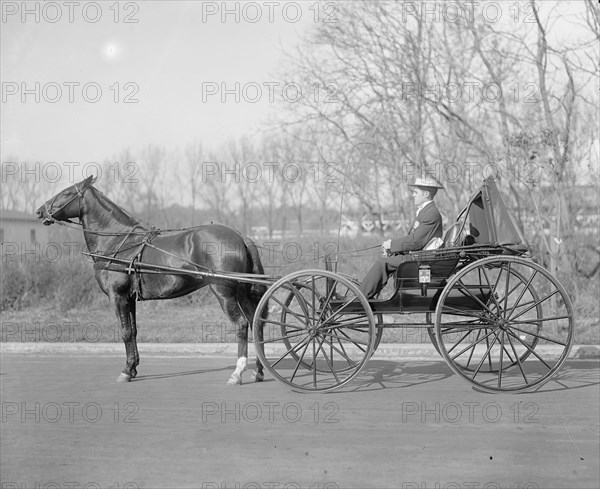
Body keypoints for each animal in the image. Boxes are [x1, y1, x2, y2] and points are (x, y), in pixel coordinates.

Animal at [37, 176, 268, 386]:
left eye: (66, 193)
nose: (40, 211)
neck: (119, 242)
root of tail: (240, 236)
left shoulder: (117, 296)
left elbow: (125, 332)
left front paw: (126, 372)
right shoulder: (129, 298)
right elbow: (133, 331)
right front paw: (132, 367)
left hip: (224, 293)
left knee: (241, 324)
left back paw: (237, 372)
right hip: (243, 292)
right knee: (256, 323)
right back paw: (258, 371)